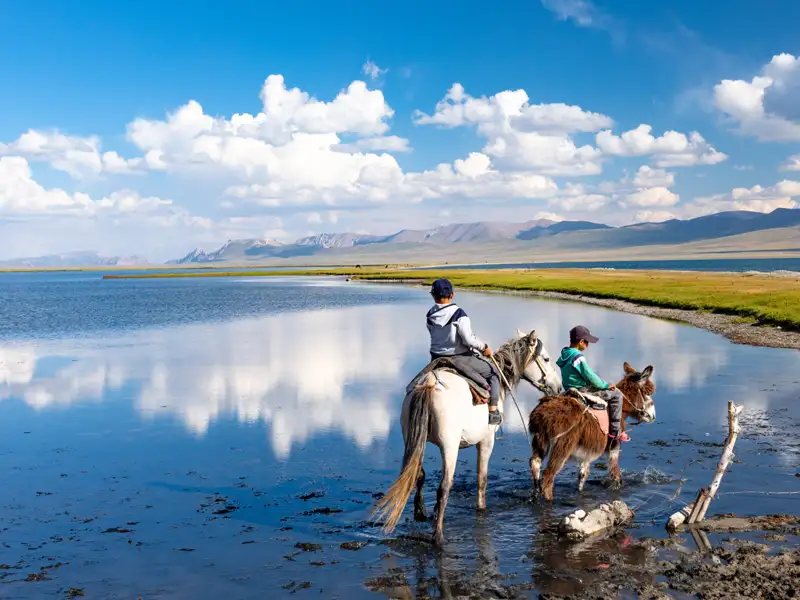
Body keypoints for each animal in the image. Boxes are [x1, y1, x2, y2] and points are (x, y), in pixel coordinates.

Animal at [372, 328, 563, 546]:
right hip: (449, 446)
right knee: (444, 486)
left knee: (417, 475)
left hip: (412, 440)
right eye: (546, 359)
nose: (558, 387)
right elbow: (482, 478)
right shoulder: (486, 441)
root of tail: (429, 384)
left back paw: (421, 512)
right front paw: (481, 509)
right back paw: (438, 535)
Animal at [527, 362, 656, 501]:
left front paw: (580, 493)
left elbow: (582, 475)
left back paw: (535, 495)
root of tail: (542, 414)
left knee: (535, 464)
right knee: (548, 475)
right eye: (646, 393)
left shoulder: (587, 452)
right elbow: (615, 474)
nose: (653, 416)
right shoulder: (614, 447)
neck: (622, 410)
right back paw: (549, 500)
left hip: (540, 440)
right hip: (562, 446)